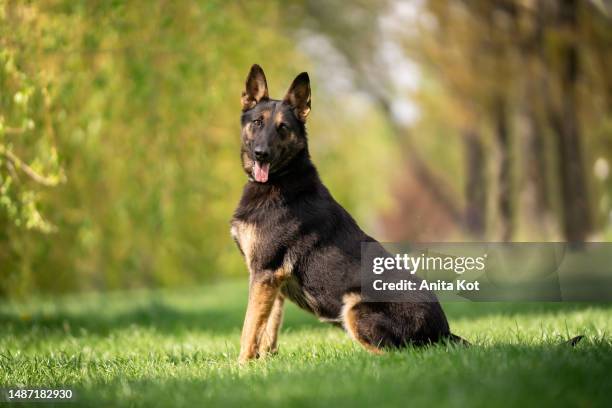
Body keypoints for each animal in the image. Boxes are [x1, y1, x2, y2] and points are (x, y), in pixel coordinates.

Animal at [233, 64, 460, 364]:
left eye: (283, 128)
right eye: (258, 122)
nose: (262, 154)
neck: (281, 179)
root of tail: (444, 332)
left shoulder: (264, 273)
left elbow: (249, 327)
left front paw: (241, 365)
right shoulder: (273, 282)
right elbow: (268, 327)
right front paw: (263, 362)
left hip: (354, 307)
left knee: (394, 354)